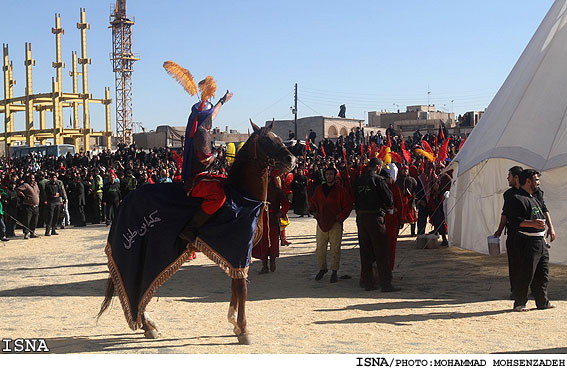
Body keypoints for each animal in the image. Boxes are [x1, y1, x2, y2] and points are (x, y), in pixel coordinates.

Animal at [96, 118, 298, 344]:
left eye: (279, 138)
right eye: (265, 140)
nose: (291, 160)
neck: (242, 197)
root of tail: (126, 199)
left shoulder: (234, 255)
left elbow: (234, 286)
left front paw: (234, 323)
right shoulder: (238, 250)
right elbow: (242, 289)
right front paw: (244, 329)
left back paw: (148, 325)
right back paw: (147, 325)